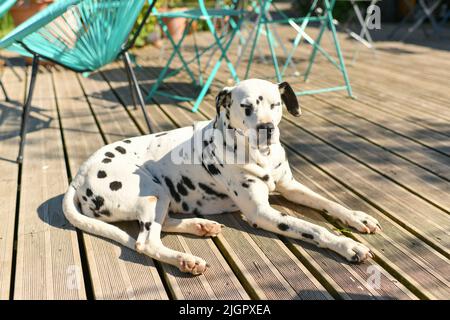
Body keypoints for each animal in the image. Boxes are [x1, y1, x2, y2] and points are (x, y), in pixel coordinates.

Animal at [62, 79, 380, 274]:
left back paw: (200, 225)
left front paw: (358, 217)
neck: (260, 155)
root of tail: (78, 176)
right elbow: (312, 228)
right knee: (146, 241)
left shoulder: (290, 186)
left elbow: (330, 203)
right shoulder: (261, 212)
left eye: (275, 104)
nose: (267, 128)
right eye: (246, 107)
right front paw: (347, 245)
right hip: (152, 189)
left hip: (160, 197)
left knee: (162, 224)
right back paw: (185, 260)